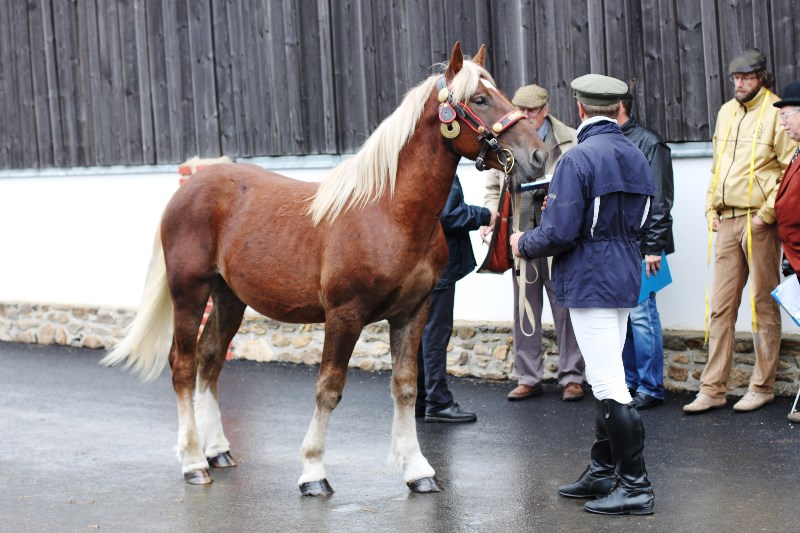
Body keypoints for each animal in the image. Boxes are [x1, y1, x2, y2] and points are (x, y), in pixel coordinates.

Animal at [102, 42, 546, 495]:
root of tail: (189, 188)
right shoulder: (344, 315)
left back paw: (218, 451)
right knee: (183, 365)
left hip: (229, 298)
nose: (538, 156)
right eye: (480, 99)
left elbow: (406, 387)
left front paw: (417, 469)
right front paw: (313, 471)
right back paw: (194, 461)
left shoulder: (412, 312)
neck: (388, 212)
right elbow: (329, 389)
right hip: (190, 292)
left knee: (210, 360)